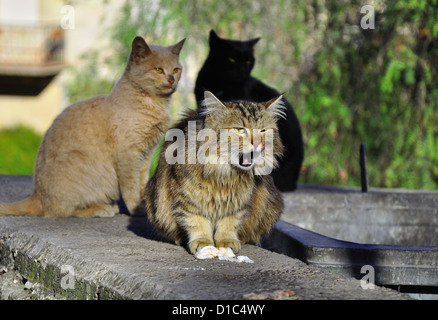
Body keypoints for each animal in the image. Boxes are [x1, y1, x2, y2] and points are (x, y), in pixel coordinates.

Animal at [0, 36, 185, 219]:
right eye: (159, 70)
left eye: (176, 70)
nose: (171, 79)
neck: (154, 104)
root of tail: (37, 195)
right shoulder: (128, 155)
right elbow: (131, 187)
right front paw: (137, 209)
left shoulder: (146, 155)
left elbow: (142, 183)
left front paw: (145, 204)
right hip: (81, 165)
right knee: (63, 211)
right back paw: (103, 209)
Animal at [145, 90, 286, 255]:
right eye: (239, 130)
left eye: (263, 131)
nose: (257, 144)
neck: (224, 172)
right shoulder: (188, 200)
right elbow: (197, 223)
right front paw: (203, 243)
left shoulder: (238, 203)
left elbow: (229, 224)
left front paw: (226, 242)